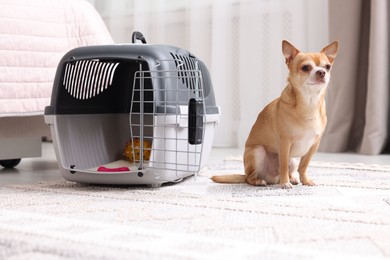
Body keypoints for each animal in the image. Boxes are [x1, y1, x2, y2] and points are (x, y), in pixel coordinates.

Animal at [212, 40, 336, 189]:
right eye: (306, 67)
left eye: (328, 67)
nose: (322, 72)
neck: (309, 102)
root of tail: (271, 178)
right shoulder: (285, 143)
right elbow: (283, 165)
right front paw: (285, 183)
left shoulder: (313, 145)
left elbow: (304, 166)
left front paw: (305, 181)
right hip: (258, 152)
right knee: (249, 177)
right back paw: (260, 181)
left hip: (293, 160)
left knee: (291, 169)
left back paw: (293, 179)